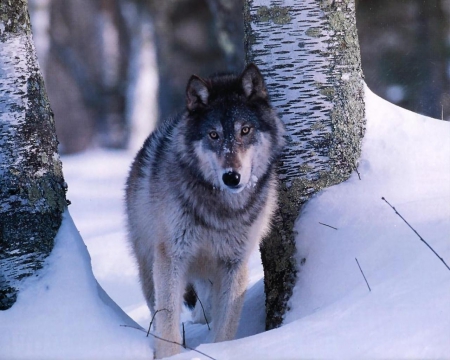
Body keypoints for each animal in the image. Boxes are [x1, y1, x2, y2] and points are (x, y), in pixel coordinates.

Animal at [125, 63, 284, 358]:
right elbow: (168, 323)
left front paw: (219, 350)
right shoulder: (171, 257)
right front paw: (170, 355)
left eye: (245, 130)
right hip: (149, 265)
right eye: (214, 135)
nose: (231, 177)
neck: (221, 211)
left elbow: (226, 326)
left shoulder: (235, 264)